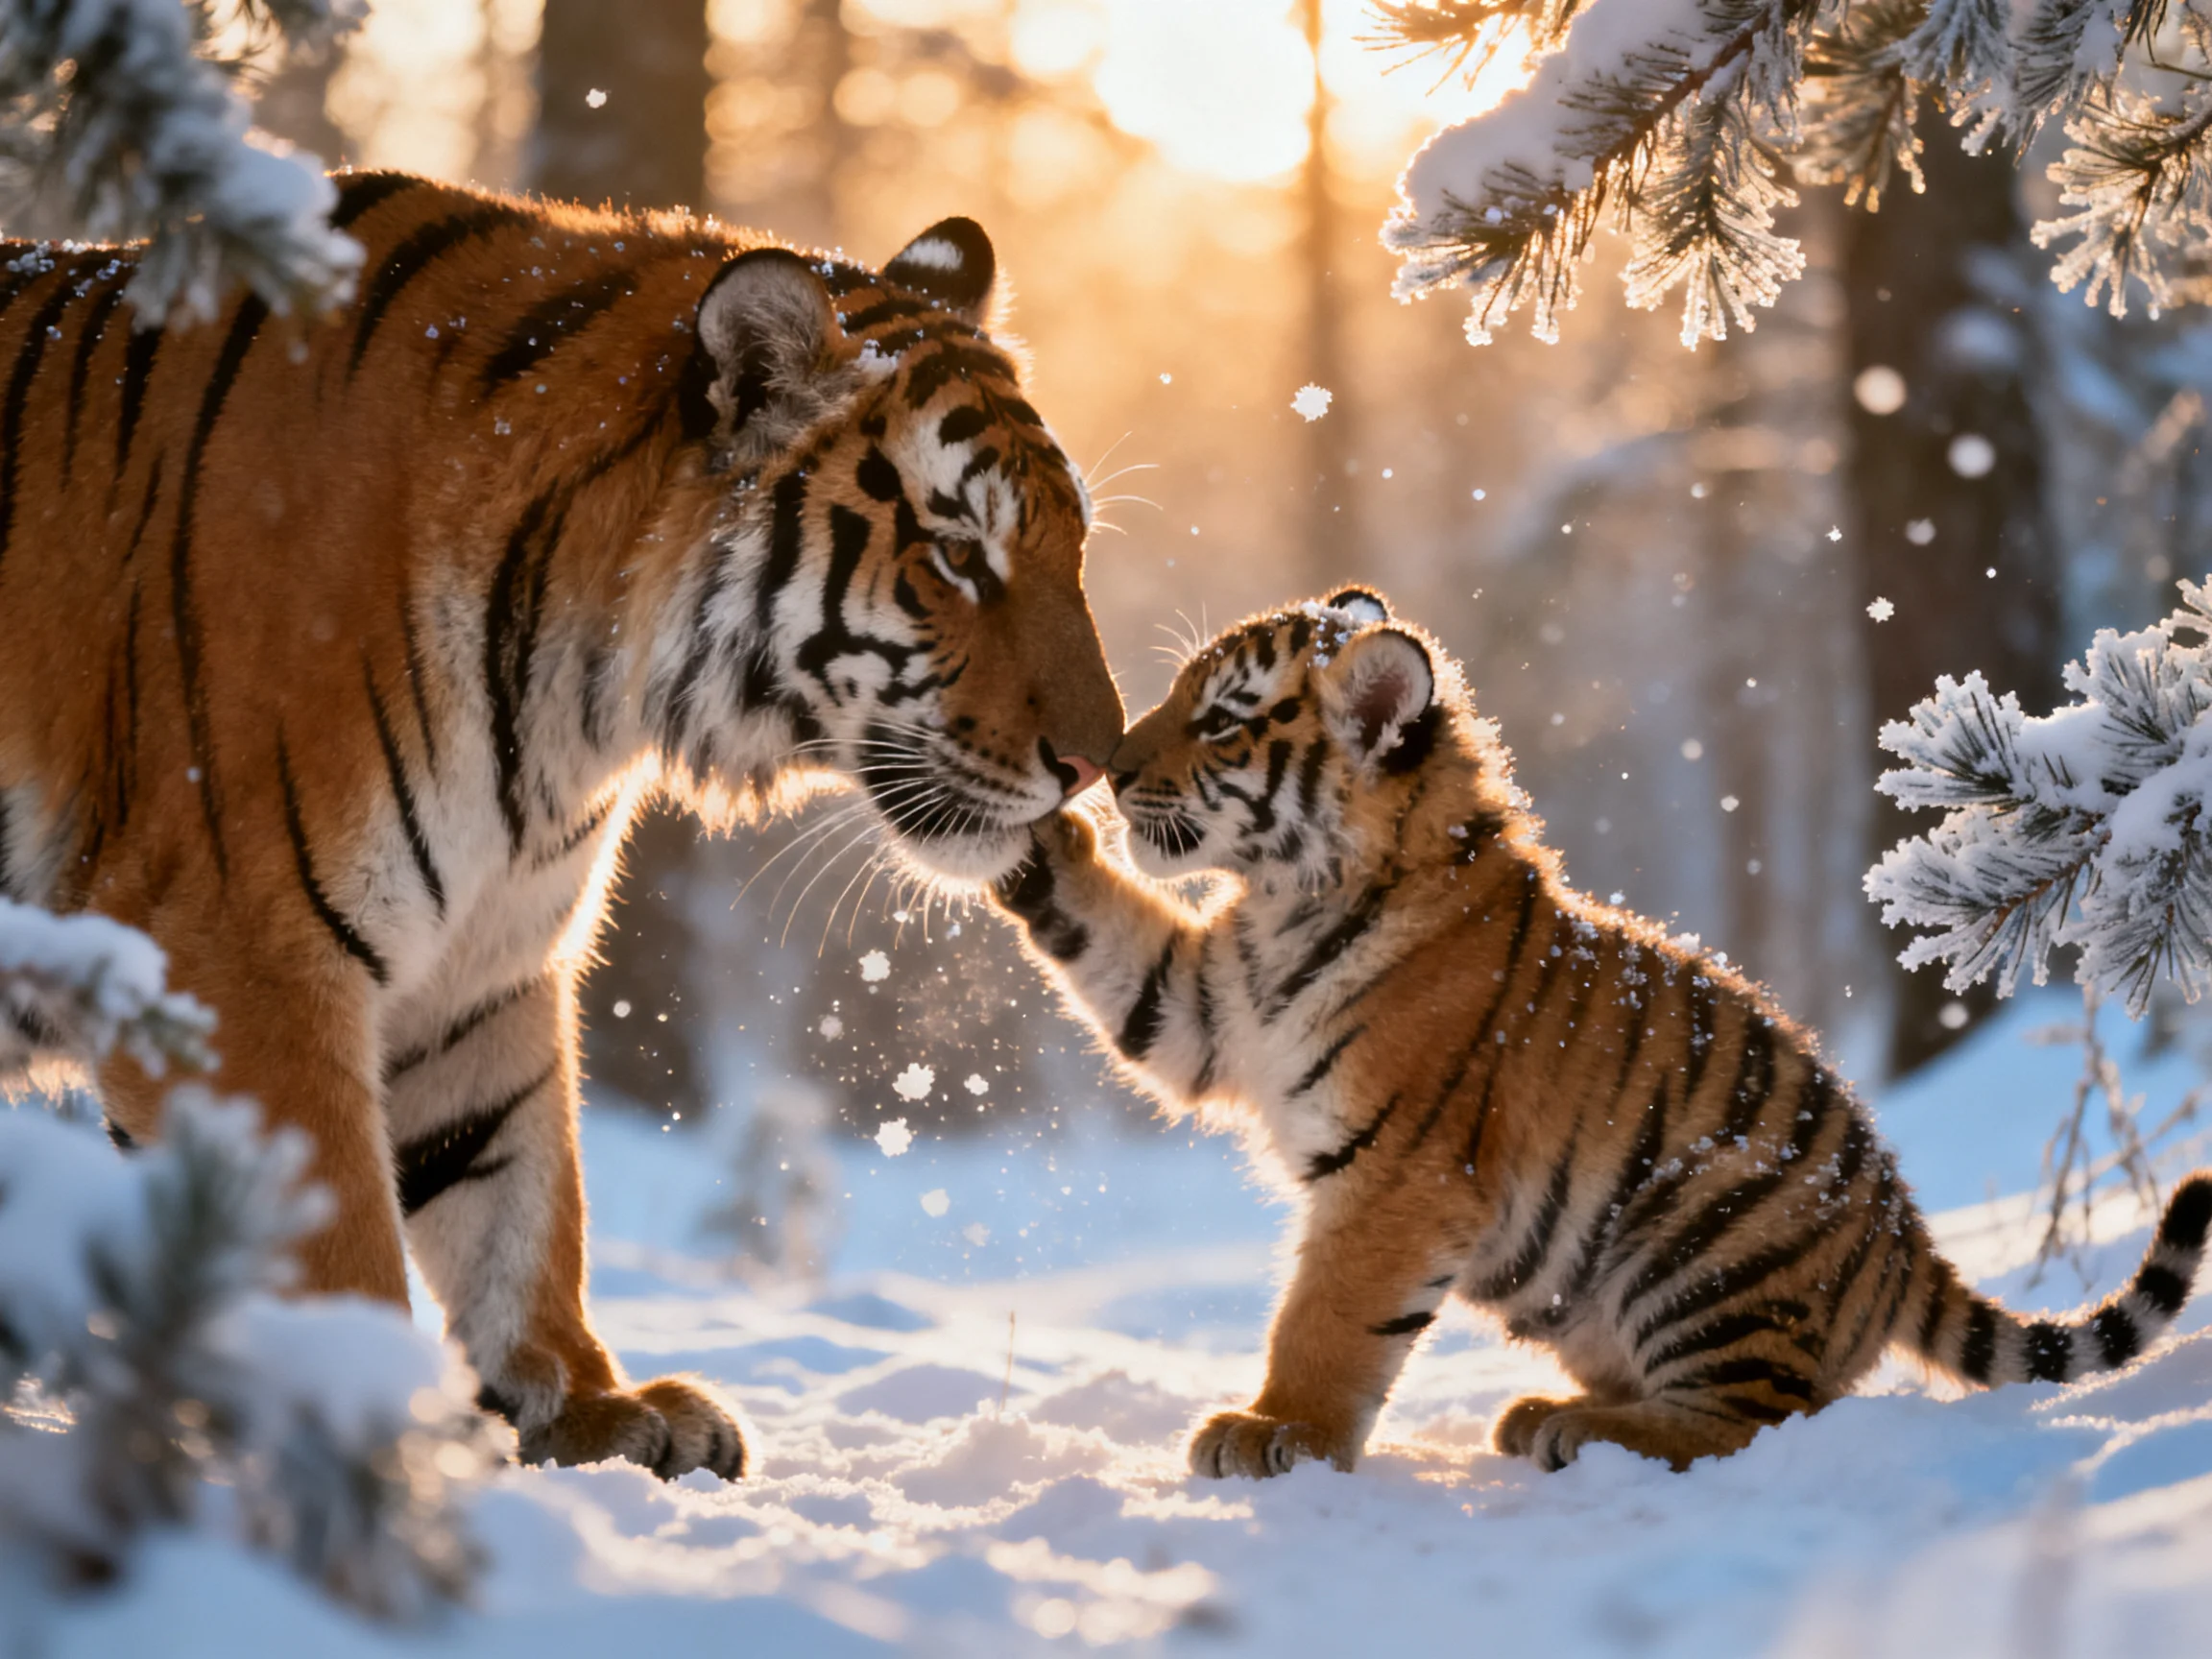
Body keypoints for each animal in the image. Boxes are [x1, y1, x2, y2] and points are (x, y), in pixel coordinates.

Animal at [0, 171, 1123, 1482]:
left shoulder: (484, 965)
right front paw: (380, 1438)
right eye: (956, 557)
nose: (1097, 765)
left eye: (1074, 546)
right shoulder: (238, 949)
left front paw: (589, 1408)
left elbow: (517, 1191)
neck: (572, 698)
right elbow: (337, 1241)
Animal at [991, 589, 2212, 1476]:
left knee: (1753, 1418)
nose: (1112, 771)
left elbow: (1327, 1320)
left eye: (1222, 721)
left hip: (1702, 1223)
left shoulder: (1396, 1172)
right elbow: (1117, 942)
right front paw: (1025, 841)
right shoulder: (1207, 1011)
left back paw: (1577, 1431)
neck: (1287, 901)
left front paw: (1274, 1431)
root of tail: (1908, 1240)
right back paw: (1553, 1409)